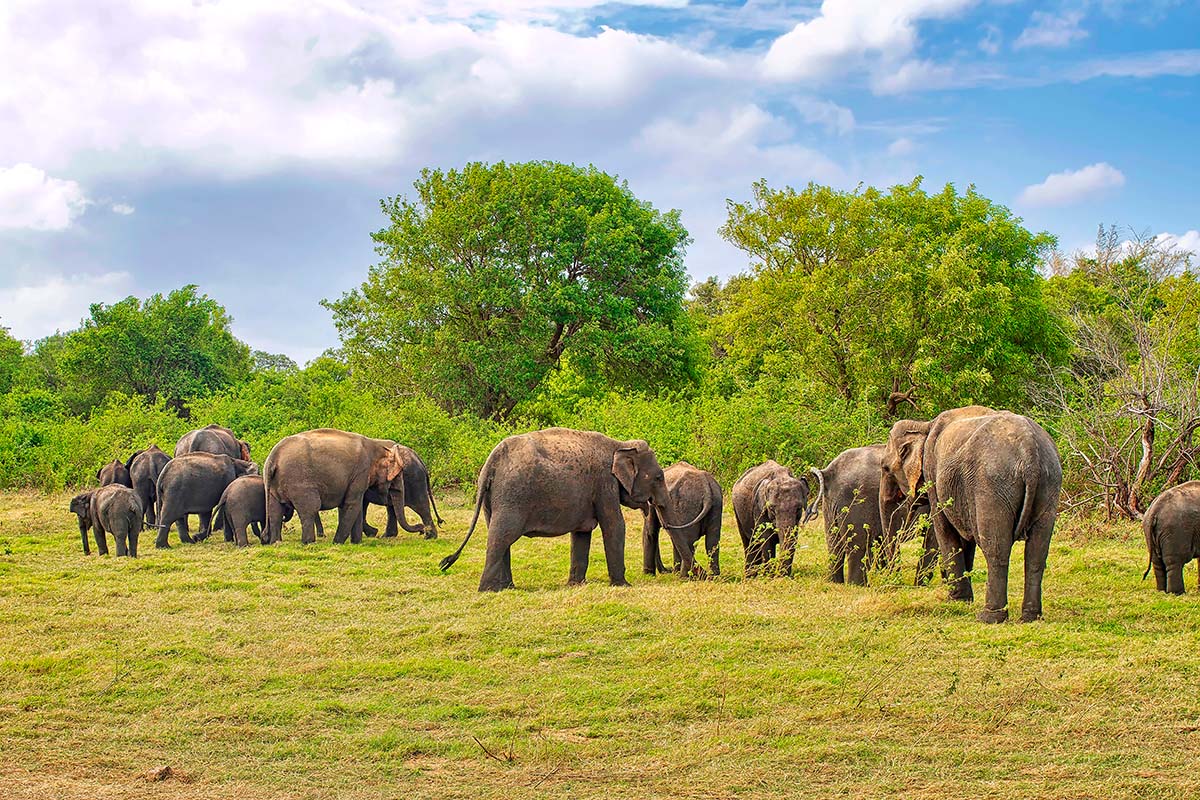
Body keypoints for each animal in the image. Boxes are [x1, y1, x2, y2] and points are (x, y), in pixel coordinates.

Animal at [264, 428, 406, 545]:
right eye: (397, 476)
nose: (376, 532)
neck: (377, 446)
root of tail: (273, 459)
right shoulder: (360, 473)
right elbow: (352, 504)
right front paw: (337, 543)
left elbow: (355, 507)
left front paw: (356, 543)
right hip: (299, 481)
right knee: (310, 509)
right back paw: (309, 542)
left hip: (273, 487)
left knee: (275, 511)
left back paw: (276, 542)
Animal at [439, 427, 690, 592]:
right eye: (658, 477)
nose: (683, 574)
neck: (619, 444)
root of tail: (491, 462)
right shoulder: (604, 484)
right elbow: (614, 525)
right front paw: (623, 586)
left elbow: (582, 533)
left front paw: (576, 584)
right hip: (513, 495)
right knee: (502, 536)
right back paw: (489, 590)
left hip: (493, 499)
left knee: (500, 536)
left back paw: (508, 587)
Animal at [808, 445, 937, 586]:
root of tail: (827, 472)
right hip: (856, 502)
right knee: (859, 547)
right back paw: (858, 586)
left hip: (830, 508)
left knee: (834, 546)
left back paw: (836, 583)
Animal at [882, 406, 1062, 623]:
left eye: (885, 468)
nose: (894, 585)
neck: (924, 425)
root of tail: (1030, 452)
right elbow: (964, 539)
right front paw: (964, 599)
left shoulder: (934, 473)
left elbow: (944, 530)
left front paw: (955, 600)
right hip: (1049, 481)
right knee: (1037, 551)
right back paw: (1030, 617)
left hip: (992, 485)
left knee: (996, 548)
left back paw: (988, 617)